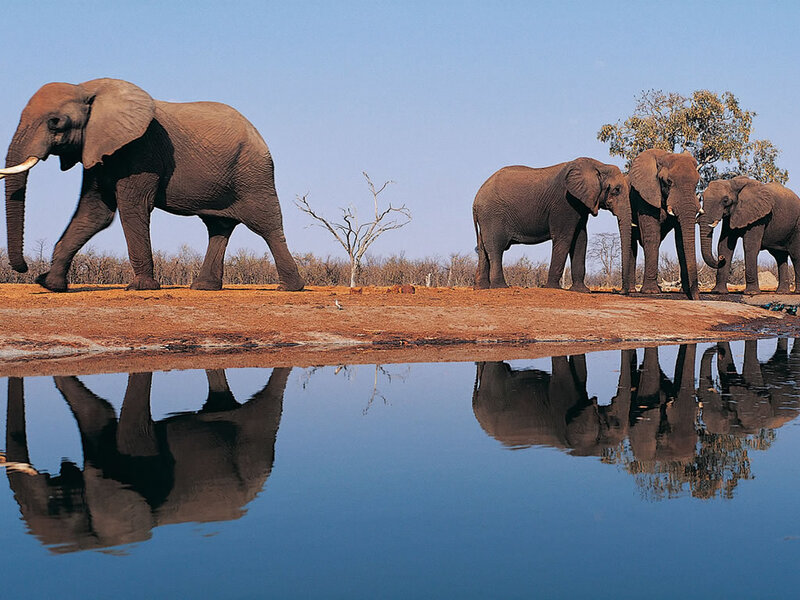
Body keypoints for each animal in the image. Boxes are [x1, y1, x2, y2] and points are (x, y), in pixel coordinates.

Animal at [1, 78, 304, 292]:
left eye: (55, 123)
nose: (25, 269)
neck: (87, 89)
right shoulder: (99, 151)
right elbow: (94, 213)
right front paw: (50, 285)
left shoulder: (140, 150)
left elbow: (132, 207)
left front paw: (140, 287)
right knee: (217, 226)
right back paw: (203, 287)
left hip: (254, 173)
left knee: (266, 225)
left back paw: (289, 288)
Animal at [472, 157, 632, 291]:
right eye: (617, 190)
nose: (618, 291)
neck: (598, 165)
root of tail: (476, 199)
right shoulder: (564, 202)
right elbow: (564, 238)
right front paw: (552, 288)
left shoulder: (580, 204)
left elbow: (581, 240)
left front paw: (581, 291)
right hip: (493, 215)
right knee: (496, 248)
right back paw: (501, 287)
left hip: (486, 218)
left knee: (483, 248)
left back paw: (482, 288)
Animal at [627, 149, 702, 299]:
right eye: (668, 182)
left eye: (697, 183)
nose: (697, 298)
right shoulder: (645, 197)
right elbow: (652, 237)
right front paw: (651, 292)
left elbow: (680, 241)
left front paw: (684, 291)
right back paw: (633, 290)